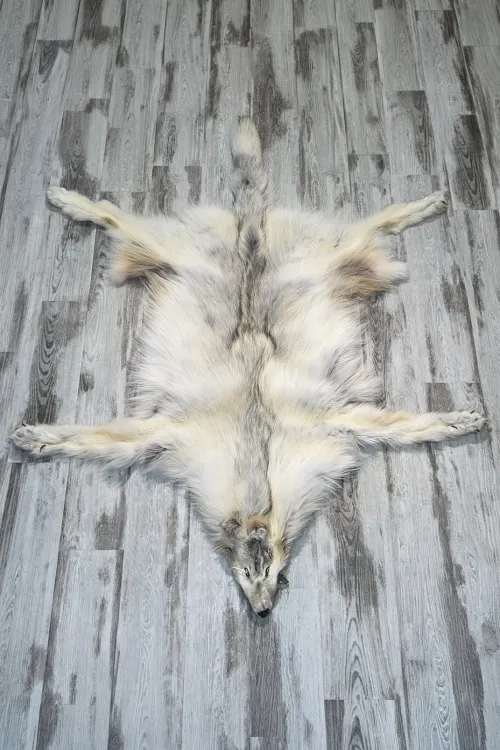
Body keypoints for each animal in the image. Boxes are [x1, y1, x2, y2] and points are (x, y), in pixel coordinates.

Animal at [12, 119, 486, 617]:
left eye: (269, 571)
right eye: (245, 573)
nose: (261, 612)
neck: (258, 471)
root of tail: (249, 241)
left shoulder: (337, 421)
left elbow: (411, 424)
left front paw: (457, 421)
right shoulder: (163, 432)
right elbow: (87, 437)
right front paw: (39, 437)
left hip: (333, 257)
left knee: (380, 219)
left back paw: (424, 204)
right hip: (170, 251)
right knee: (112, 214)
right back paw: (69, 199)